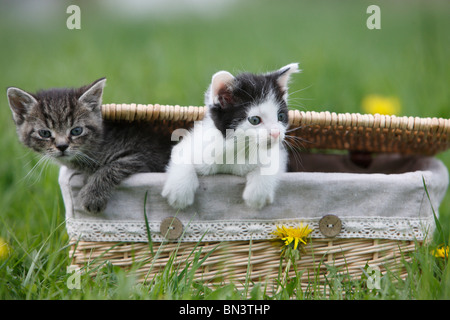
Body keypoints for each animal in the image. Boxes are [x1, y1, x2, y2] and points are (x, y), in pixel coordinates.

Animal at [7, 78, 172, 214]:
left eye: (76, 131)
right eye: (45, 133)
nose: (62, 146)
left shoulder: (142, 156)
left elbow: (111, 167)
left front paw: (92, 197)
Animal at [162, 64, 298, 211]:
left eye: (281, 117)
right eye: (255, 120)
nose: (276, 133)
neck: (237, 147)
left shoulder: (278, 151)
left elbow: (273, 162)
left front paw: (256, 195)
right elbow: (181, 153)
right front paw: (179, 192)